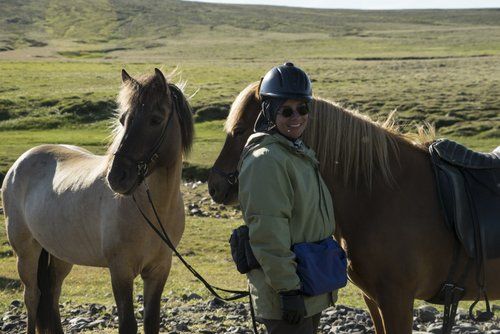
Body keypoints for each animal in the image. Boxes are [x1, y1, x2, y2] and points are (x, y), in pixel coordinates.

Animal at [1, 68, 193, 334]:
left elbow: (151, 322)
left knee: (51, 294)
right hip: (27, 252)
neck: (154, 211)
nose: (117, 177)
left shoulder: (158, 270)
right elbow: (127, 323)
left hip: (60, 255)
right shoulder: (120, 271)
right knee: (32, 297)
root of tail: (20, 162)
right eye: (123, 120)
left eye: (155, 119)